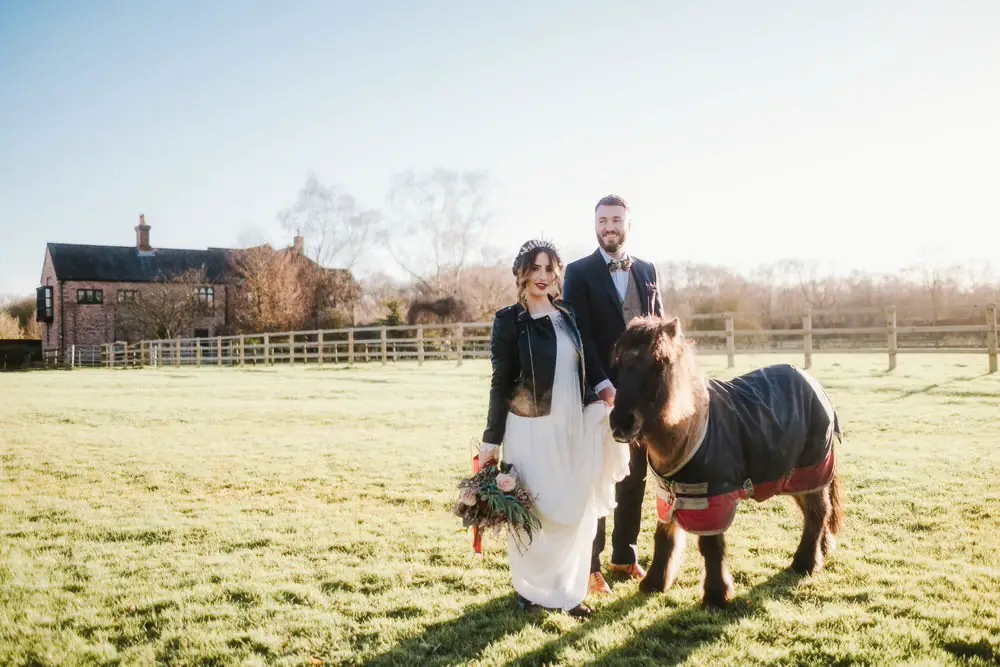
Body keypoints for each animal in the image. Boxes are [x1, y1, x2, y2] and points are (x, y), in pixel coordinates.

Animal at [608, 318, 844, 612]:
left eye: (659, 365)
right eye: (619, 364)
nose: (621, 423)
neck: (691, 429)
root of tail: (814, 384)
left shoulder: (713, 499)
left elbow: (711, 547)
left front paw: (716, 595)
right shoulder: (669, 495)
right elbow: (664, 537)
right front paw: (654, 582)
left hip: (811, 470)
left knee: (817, 513)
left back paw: (805, 563)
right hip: (795, 477)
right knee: (814, 513)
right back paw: (819, 552)